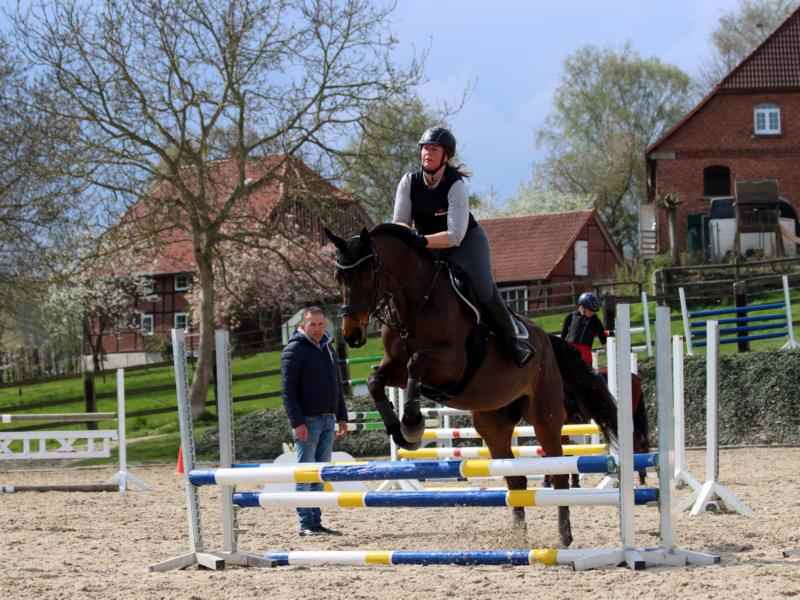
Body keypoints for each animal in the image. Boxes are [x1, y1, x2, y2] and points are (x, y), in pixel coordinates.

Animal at [326, 224, 621, 547]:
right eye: (339, 277)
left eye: (368, 273)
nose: (351, 334)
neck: (416, 303)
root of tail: (548, 339)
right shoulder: (395, 368)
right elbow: (375, 381)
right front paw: (400, 432)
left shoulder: (450, 365)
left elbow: (416, 363)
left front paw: (413, 424)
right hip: (493, 423)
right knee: (516, 478)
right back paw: (519, 538)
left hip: (545, 416)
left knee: (559, 474)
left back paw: (564, 535)